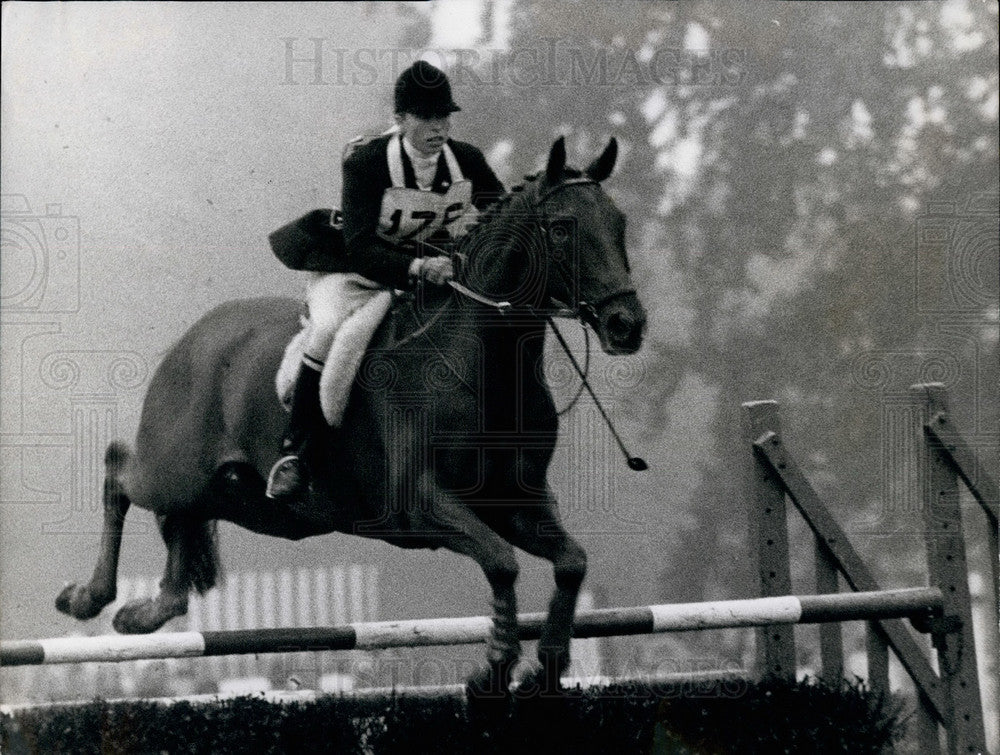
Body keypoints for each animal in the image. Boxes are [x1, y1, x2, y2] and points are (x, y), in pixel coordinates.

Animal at [56, 137, 648, 696]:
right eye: (561, 229)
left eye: (619, 223)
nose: (627, 326)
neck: (483, 364)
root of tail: (191, 338)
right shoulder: (417, 504)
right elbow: (502, 562)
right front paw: (494, 670)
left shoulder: (516, 501)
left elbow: (571, 562)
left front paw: (546, 666)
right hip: (177, 467)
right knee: (120, 471)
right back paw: (87, 598)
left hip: (249, 501)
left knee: (182, 518)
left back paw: (148, 611)